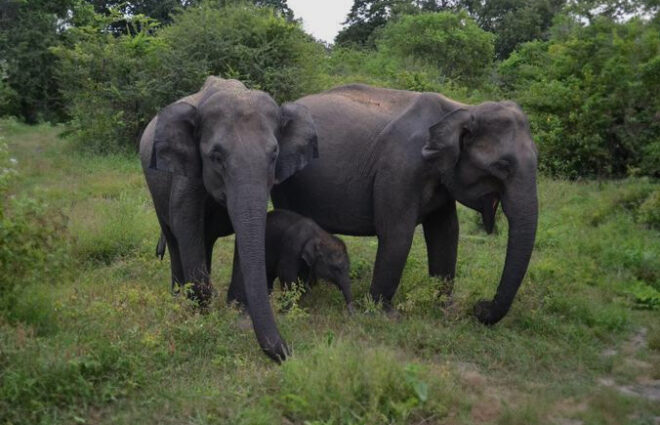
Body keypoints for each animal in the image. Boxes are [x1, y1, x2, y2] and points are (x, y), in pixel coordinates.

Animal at [270, 83, 540, 324]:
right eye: (502, 167)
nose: (479, 307)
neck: (460, 109)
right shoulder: (400, 168)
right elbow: (397, 233)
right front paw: (383, 315)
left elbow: (446, 233)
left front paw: (443, 308)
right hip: (287, 181)